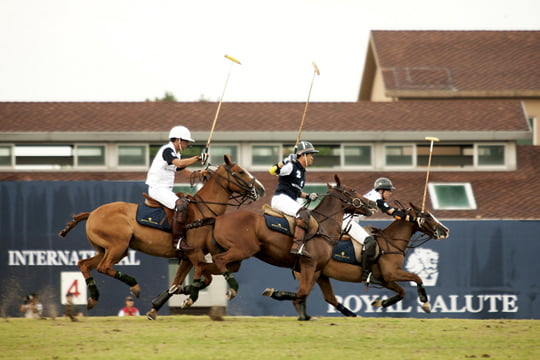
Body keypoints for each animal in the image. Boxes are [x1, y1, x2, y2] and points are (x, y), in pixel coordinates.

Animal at [58, 155, 264, 310]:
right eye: (240, 172)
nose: (260, 190)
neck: (203, 210)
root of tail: (92, 213)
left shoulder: (187, 258)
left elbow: (181, 281)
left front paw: (163, 302)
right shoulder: (195, 254)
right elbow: (206, 278)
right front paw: (185, 296)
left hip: (106, 249)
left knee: (84, 264)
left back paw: (93, 298)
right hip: (118, 246)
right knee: (103, 267)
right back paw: (134, 286)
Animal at [264, 202, 450, 318]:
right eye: (427, 215)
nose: (445, 230)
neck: (391, 242)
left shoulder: (385, 279)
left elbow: (402, 292)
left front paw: (380, 302)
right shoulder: (392, 273)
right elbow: (417, 278)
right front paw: (425, 304)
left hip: (320, 274)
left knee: (326, 297)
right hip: (312, 272)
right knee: (304, 293)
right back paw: (276, 294)